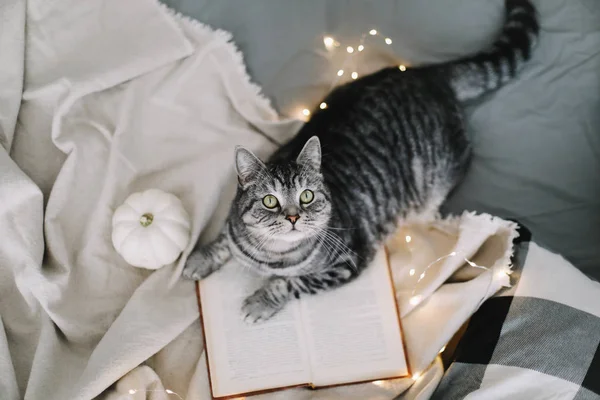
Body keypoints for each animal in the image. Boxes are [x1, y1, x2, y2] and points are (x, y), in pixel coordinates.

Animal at [183, 0, 540, 324]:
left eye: (307, 196)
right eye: (270, 201)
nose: (294, 217)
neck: (271, 255)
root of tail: (425, 73)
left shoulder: (347, 262)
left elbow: (291, 282)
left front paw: (262, 300)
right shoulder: (233, 225)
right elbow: (224, 240)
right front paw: (200, 258)